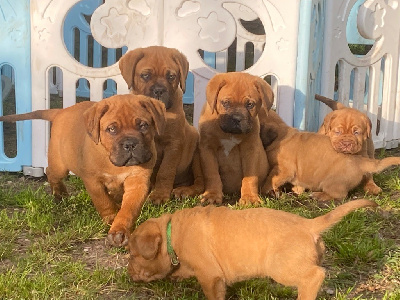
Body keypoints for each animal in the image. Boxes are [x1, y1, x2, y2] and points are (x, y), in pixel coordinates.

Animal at [0, 95, 166, 246]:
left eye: (143, 125)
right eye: (112, 129)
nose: (130, 144)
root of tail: (61, 111)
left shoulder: (138, 181)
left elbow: (129, 209)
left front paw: (120, 229)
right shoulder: (93, 181)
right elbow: (103, 201)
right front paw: (111, 217)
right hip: (60, 165)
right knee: (51, 172)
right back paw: (60, 194)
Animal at [119, 46, 205, 204]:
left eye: (171, 76)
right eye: (145, 75)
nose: (159, 90)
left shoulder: (173, 144)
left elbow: (166, 170)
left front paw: (159, 195)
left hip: (197, 153)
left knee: (200, 182)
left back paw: (184, 191)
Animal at [129, 198, 378, 298]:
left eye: (133, 254)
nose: (129, 275)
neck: (173, 232)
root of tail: (309, 224)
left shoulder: (210, 275)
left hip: (281, 267)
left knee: (315, 276)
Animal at [198, 72, 274, 206]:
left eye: (250, 104)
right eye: (225, 103)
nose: (237, 118)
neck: (230, 133)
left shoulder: (251, 150)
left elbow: (250, 177)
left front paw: (249, 197)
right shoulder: (207, 149)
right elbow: (211, 173)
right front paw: (212, 195)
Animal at [260, 111, 400, 203]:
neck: (281, 136)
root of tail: (358, 160)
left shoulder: (283, 170)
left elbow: (271, 180)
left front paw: (266, 190)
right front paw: (296, 190)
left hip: (330, 183)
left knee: (340, 195)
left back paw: (318, 195)